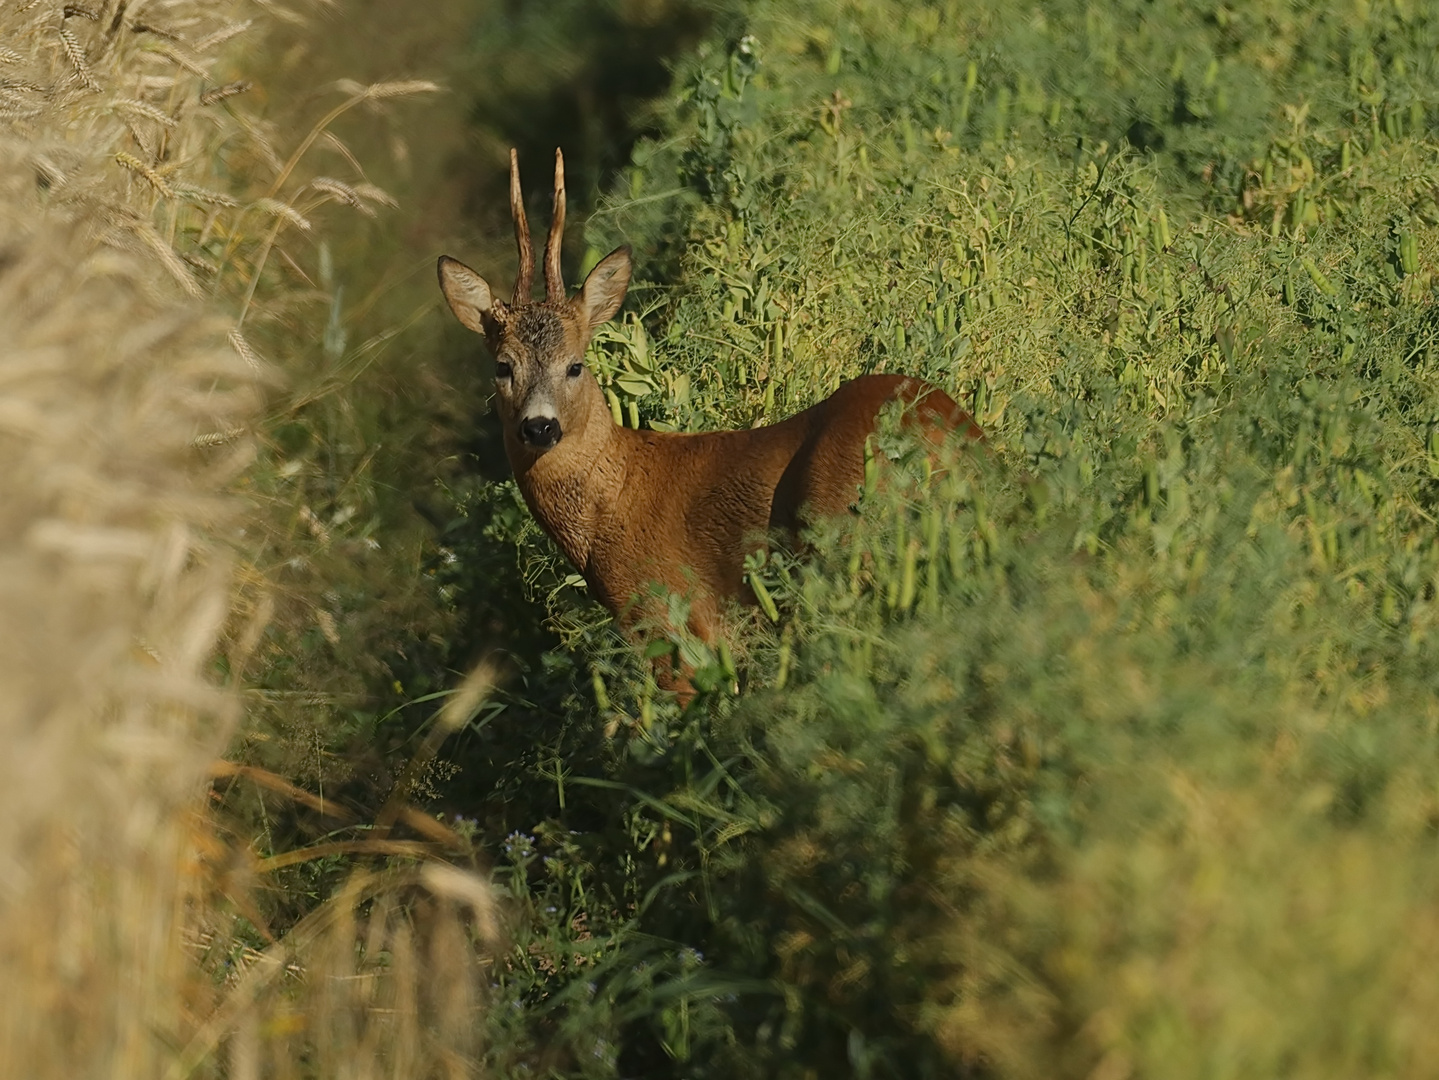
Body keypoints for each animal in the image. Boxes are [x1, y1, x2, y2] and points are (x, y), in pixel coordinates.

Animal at [434, 150, 978, 675]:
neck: (609, 506)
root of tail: (950, 438)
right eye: (503, 366)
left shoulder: (667, 621)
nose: (540, 426)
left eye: (575, 364)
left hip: (845, 534)